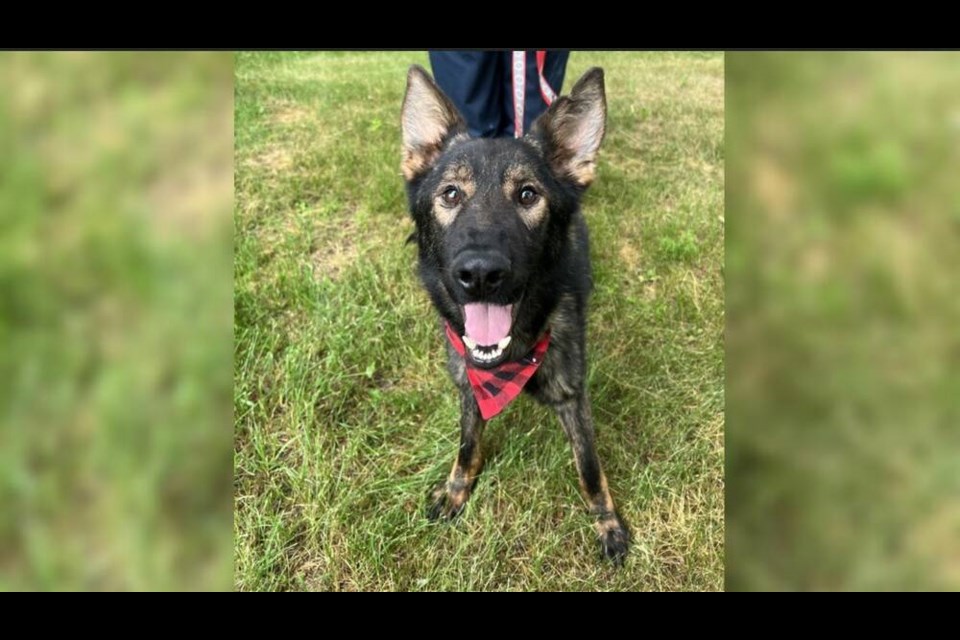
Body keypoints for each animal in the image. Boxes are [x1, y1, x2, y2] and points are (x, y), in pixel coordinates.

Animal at [400, 66, 632, 564]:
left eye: (528, 195)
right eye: (451, 194)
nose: (480, 274)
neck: (509, 361)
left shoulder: (573, 393)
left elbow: (589, 465)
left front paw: (607, 522)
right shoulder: (468, 385)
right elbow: (468, 444)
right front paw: (456, 490)